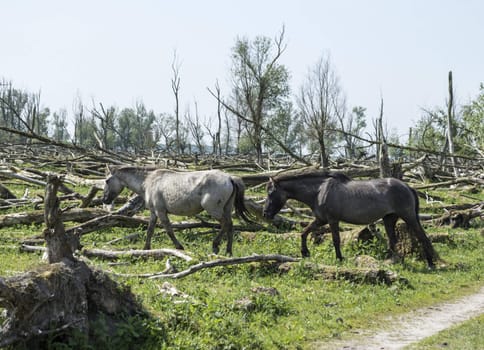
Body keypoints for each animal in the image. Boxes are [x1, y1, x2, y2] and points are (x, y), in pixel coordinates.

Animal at [103, 165, 253, 256]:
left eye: (107, 180)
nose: (105, 200)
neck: (149, 181)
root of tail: (229, 177)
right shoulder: (154, 213)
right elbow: (150, 230)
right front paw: (146, 249)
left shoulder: (161, 212)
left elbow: (169, 230)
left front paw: (179, 247)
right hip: (226, 209)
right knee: (230, 226)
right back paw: (228, 251)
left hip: (214, 210)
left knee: (225, 224)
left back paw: (215, 246)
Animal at [262, 170, 436, 268]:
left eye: (270, 192)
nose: (265, 214)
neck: (320, 190)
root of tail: (407, 186)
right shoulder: (320, 219)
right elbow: (304, 232)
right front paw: (305, 252)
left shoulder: (332, 220)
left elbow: (335, 240)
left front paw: (339, 259)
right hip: (389, 219)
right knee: (393, 240)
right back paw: (390, 261)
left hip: (409, 217)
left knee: (422, 237)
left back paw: (430, 264)